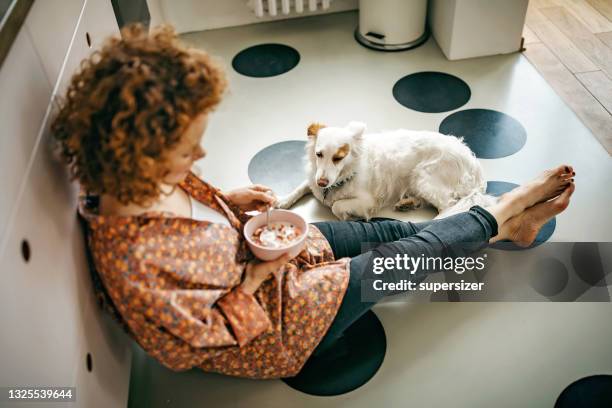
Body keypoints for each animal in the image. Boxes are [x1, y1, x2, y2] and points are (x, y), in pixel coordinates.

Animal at [278, 121, 498, 222]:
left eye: (338, 158)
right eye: (319, 154)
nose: (323, 183)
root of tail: (474, 163)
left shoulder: (367, 200)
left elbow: (336, 206)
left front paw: (348, 216)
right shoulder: (313, 178)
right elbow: (301, 187)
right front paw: (282, 201)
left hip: (423, 176)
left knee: (448, 207)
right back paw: (408, 203)